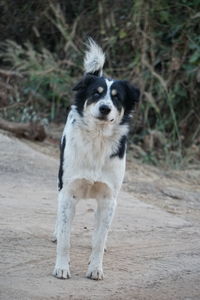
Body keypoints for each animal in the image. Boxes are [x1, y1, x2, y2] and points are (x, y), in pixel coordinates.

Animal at [53, 38, 141, 280]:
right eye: (96, 93)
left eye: (117, 97)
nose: (104, 108)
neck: (98, 140)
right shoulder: (68, 192)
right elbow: (65, 238)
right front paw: (62, 267)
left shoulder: (108, 198)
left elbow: (99, 240)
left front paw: (95, 269)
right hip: (61, 184)